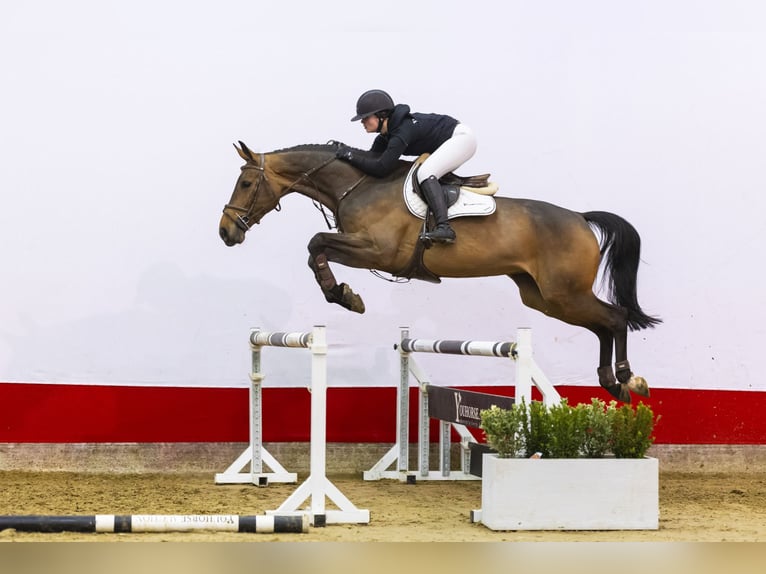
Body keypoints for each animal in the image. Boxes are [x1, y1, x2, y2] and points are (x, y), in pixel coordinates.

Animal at [219, 142, 664, 402]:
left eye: (245, 184)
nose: (225, 232)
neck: (358, 185)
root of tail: (580, 218)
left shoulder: (377, 251)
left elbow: (316, 244)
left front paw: (345, 296)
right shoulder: (365, 250)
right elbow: (316, 250)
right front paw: (344, 294)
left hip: (564, 293)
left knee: (615, 318)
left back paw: (629, 380)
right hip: (545, 298)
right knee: (602, 325)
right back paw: (611, 382)